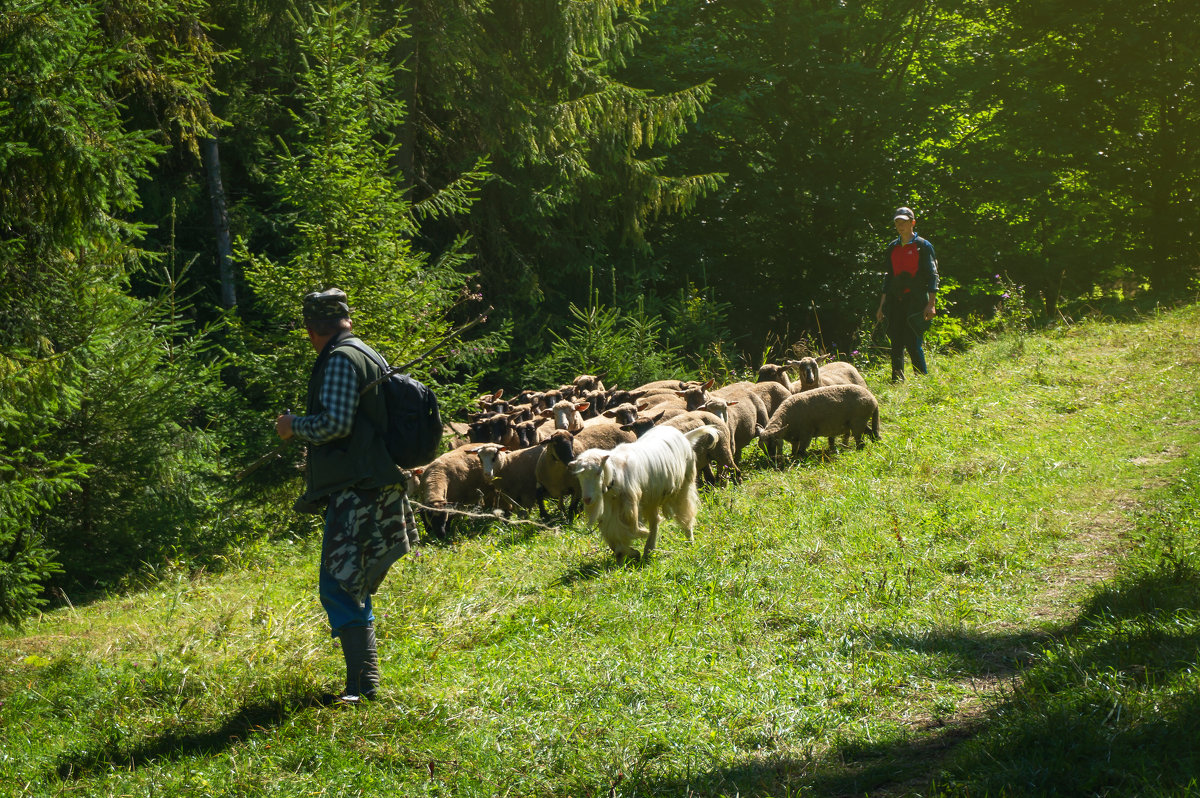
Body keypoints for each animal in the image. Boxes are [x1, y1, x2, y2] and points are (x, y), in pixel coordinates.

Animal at [566, 422, 700, 559]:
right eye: (579, 476)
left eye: (598, 472)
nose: (587, 499)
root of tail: (683, 436)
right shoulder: (610, 516)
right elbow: (614, 541)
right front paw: (631, 553)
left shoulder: (629, 510)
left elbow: (630, 532)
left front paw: (634, 550)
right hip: (652, 499)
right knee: (655, 521)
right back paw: (648, 550)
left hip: (684, 486)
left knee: (685, 514)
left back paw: (689, 541)